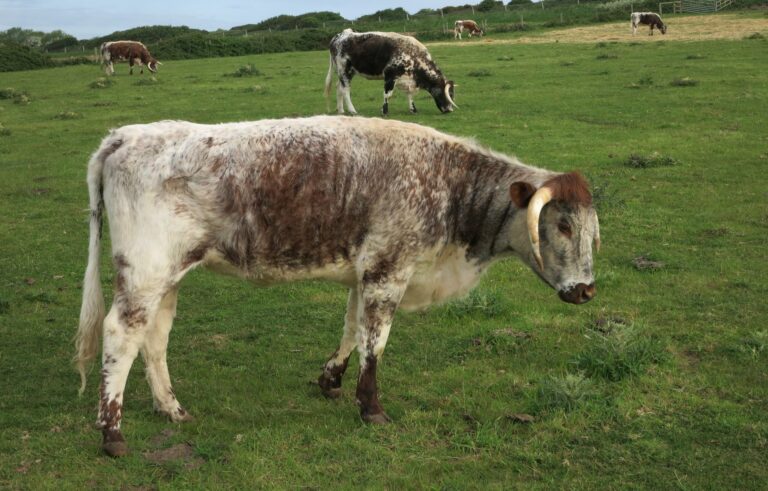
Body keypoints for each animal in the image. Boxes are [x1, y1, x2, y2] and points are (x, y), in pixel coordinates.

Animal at [75, 116, 600, 457]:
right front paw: (371, 407)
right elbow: (375, 342)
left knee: (155, 339)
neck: (448, 185)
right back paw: (112, 433)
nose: (586, 290)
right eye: (562, 225)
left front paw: (331, 379)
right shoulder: (389, 270)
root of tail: (123, 136)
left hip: (167, 277)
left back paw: (172, 409)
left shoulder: (365, 272)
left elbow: (351, 328)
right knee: (120, 335)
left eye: (592, 231)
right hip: (144, 273)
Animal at [325, 29, 457, 115]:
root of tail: (340, 35)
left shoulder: (408, 80)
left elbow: (410, 95)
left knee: (339, 87)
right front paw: (384, 111)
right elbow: (387, 94)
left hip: (345, 72)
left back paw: (341, 110)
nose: (450, 110)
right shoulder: (390, 76)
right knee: (345, 90)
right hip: (344, 70)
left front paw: (413, 109)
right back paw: (352, 110)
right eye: (449, 94)